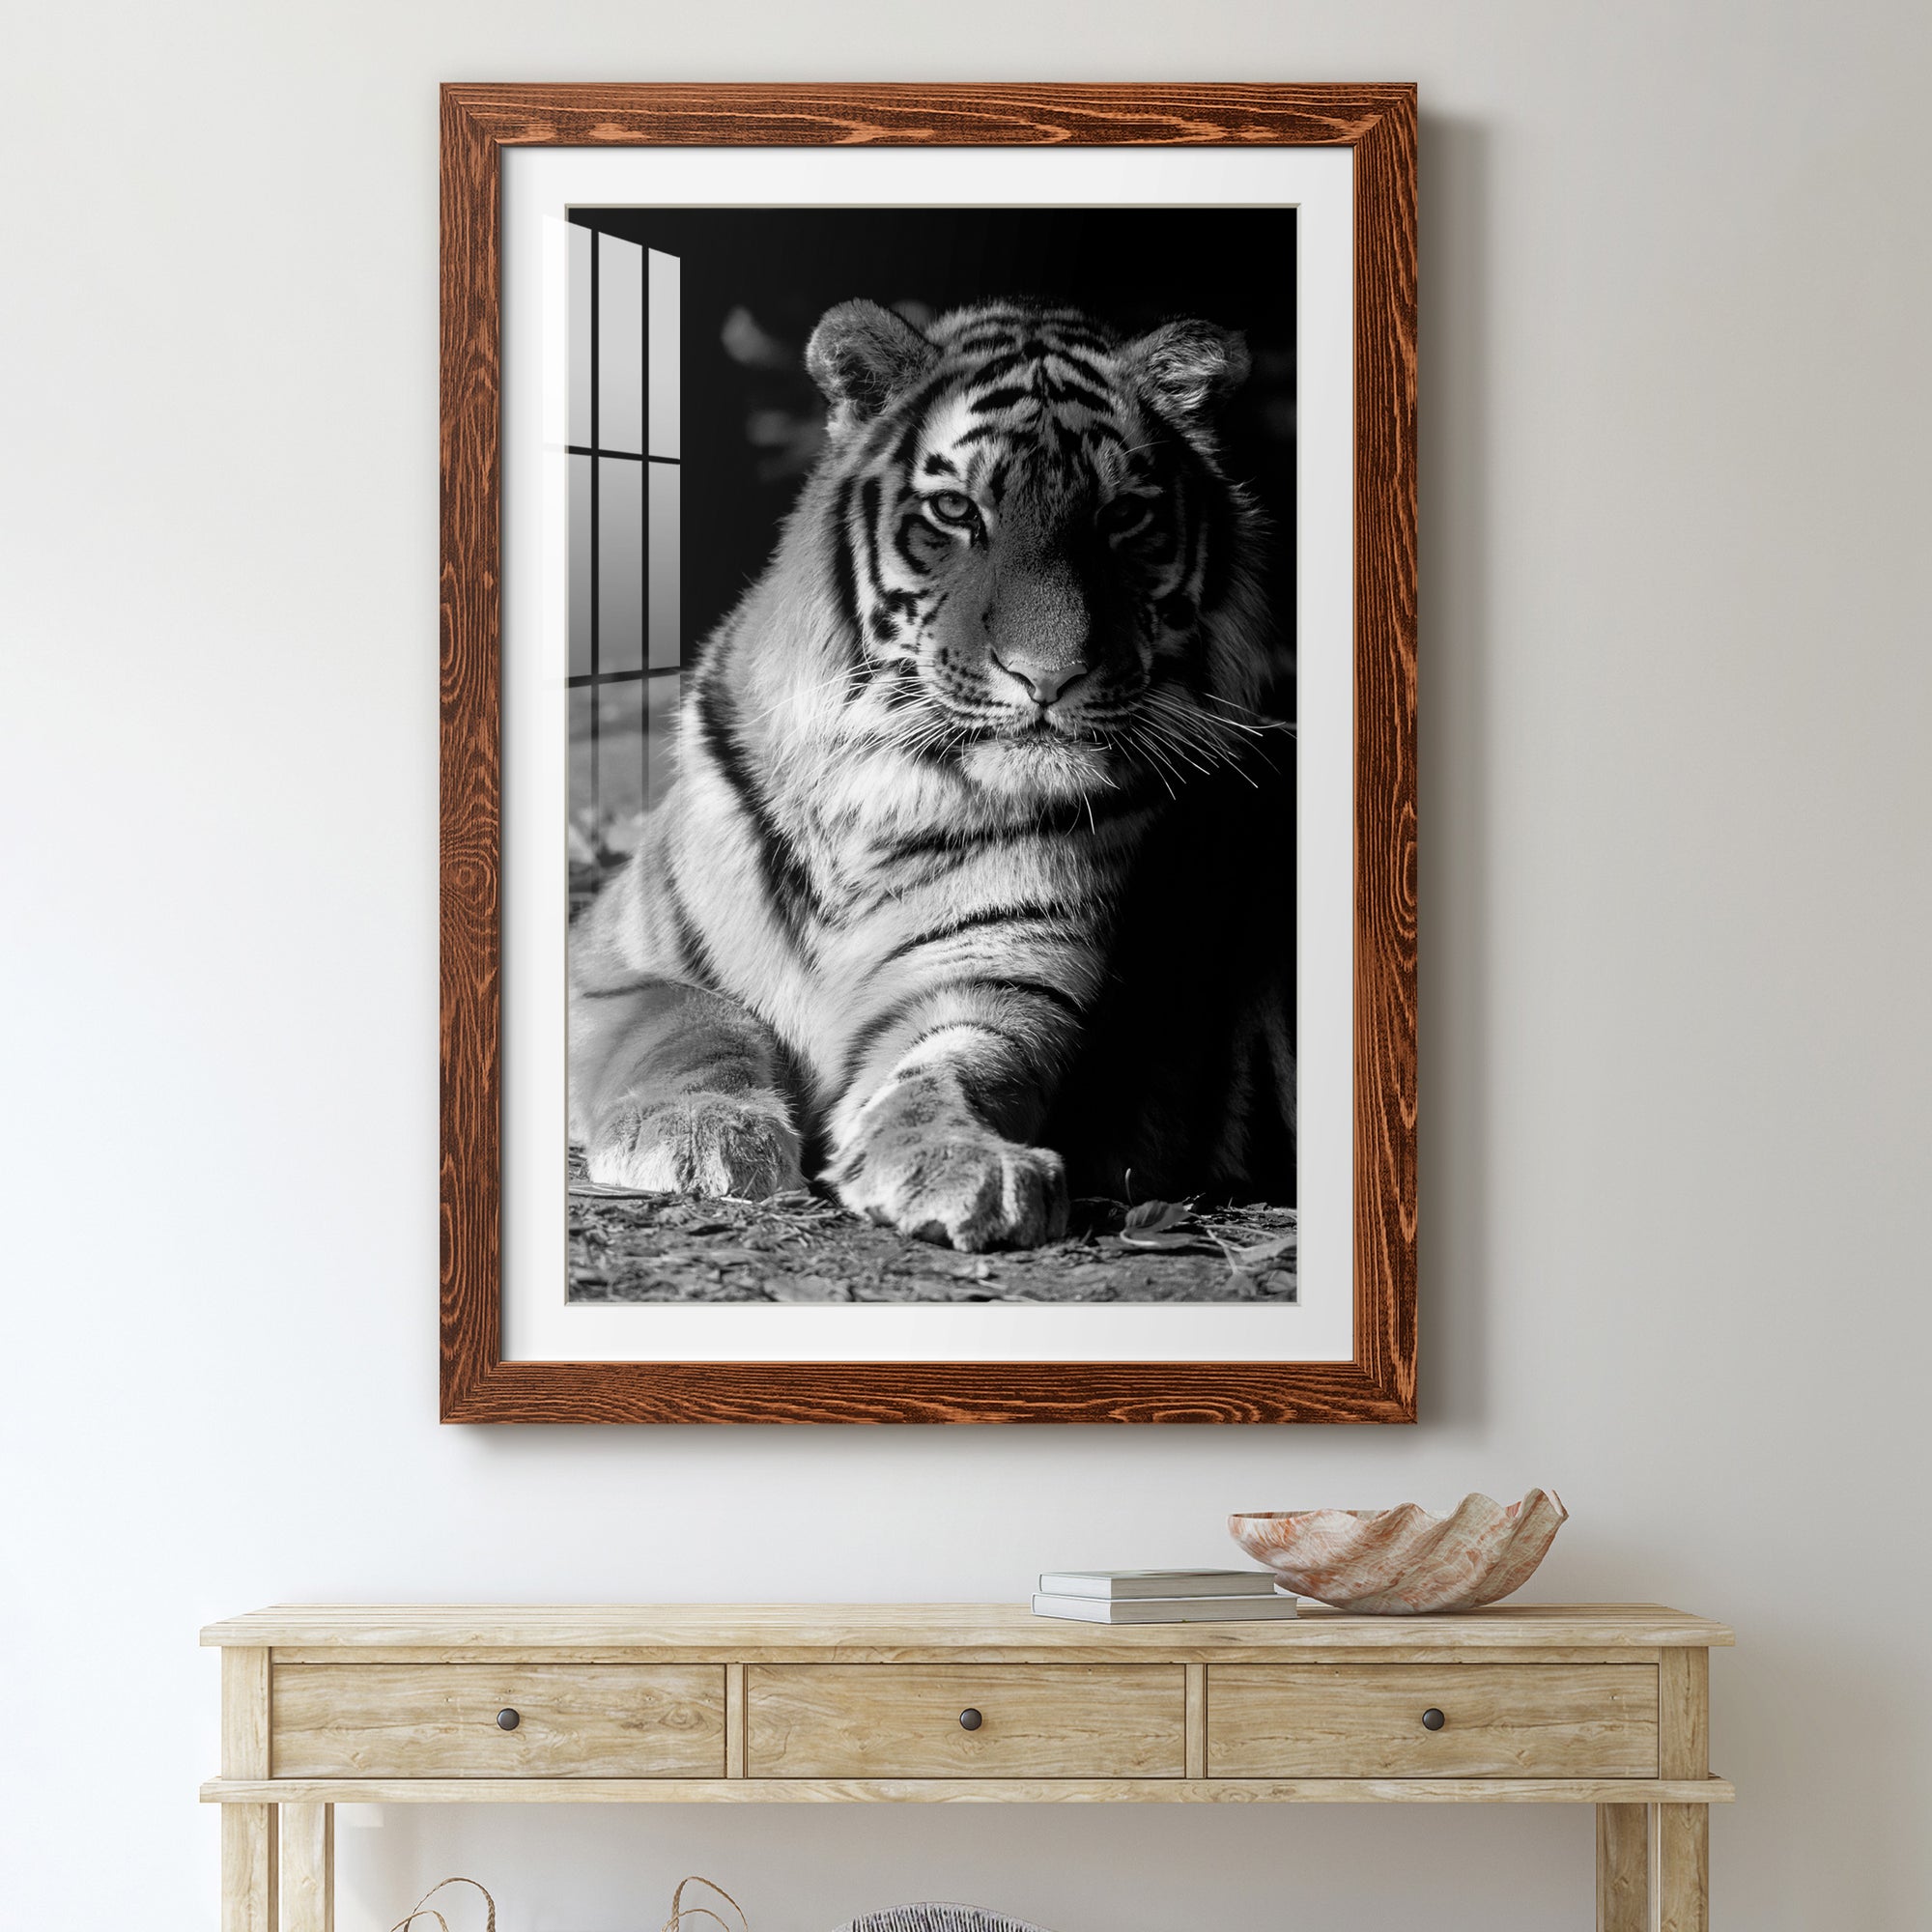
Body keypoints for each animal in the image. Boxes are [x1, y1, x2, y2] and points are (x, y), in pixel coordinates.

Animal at [568, 296, 1295, 1254]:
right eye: (956, 510)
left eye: (1122, 518)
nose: (1049, 676)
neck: (879, 793)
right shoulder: (610, 959)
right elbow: (694, 1021)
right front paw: (697, 1133)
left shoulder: (1002, 981)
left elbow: (955, 1068)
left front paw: (963, 1162)